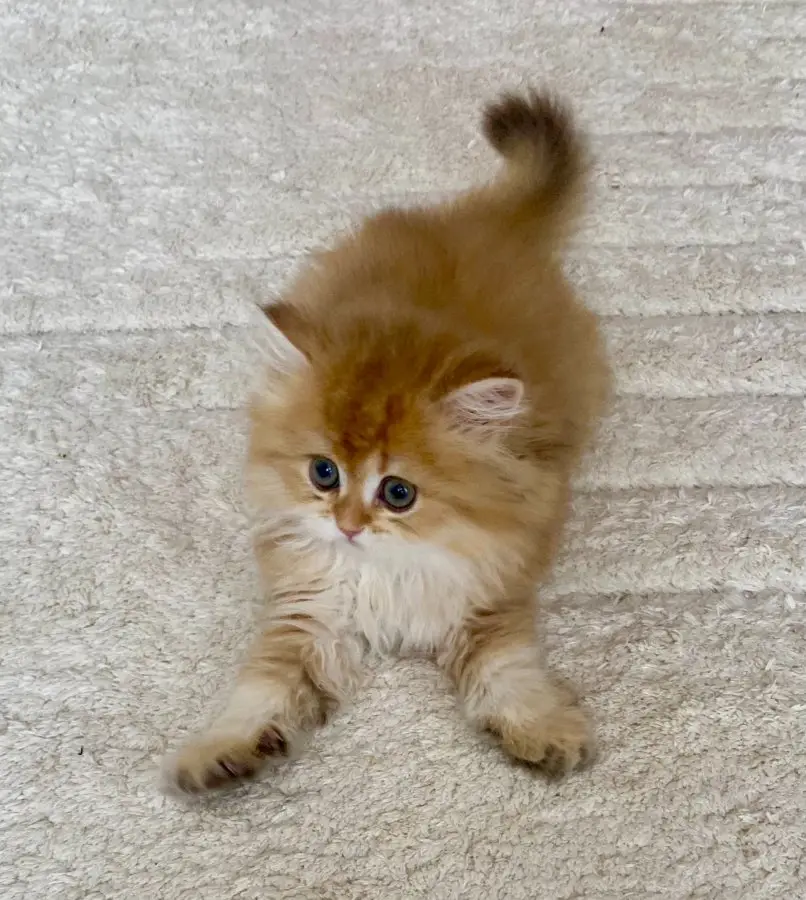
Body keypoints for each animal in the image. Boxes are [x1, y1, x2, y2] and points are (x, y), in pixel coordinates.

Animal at [163, 89, 611, 794]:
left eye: (398, 492)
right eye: (323, 474)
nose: (348, 526)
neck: (388, 570)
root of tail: (483, 224)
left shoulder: (489, 599)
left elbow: (508, 673)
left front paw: (541, 729)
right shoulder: (306, 613)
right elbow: (261, 689)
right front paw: (223, 750)